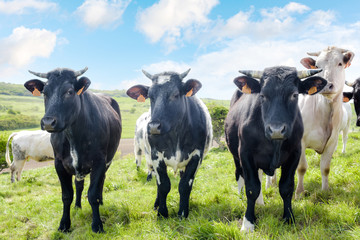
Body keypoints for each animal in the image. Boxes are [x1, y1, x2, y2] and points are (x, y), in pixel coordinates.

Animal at [24, 67, 122, 232]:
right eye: (44, 92)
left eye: (69, 91)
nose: (48, 122)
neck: (72, 134)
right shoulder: (59, 163)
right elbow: (67, 195)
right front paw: (64, 224)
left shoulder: (99, 161)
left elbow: (92, 194)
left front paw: (97, 225)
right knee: (79, 185)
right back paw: (77, 206)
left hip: (108, 159)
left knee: (101, 181)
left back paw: (101, 201)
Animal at [126, 68, 212, 218]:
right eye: (150, 96)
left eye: (176, 94)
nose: (154, 126)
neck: (176, 134)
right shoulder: (156, 156)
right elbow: (163, 185)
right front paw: (162, 212)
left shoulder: (196, 156)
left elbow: (185, 185)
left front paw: (183, 212)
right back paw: (156, 204)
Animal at [226, 66, 328, 232]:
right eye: (262, 95)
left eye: (294, 95)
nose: (276, 130)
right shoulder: (245, 154)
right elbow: (252, 188)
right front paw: (248, 222)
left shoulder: (295, 154)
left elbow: (286, 187)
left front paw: (288, 218)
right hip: (235, 155)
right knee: (239, 174)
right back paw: (242, 197)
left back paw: (260, 203)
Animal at [296, 46, 354, 197]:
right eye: (317, 66)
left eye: (340, 63)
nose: (327, 86)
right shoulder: (300, 141)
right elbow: (302, 167)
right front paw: (299, 193)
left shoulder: (332, 141)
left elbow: (325, 168)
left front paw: (325, 190)